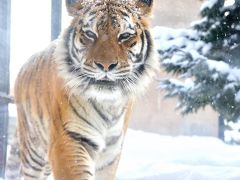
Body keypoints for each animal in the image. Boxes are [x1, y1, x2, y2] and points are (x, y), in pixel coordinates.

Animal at [5, 0, 158, 179]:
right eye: (90, 34)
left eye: (124, 35)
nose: (106, 65)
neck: (108, 105)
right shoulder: (68, 139)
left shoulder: (111, 153)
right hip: (33, 150)